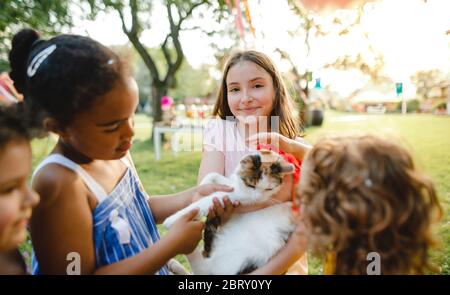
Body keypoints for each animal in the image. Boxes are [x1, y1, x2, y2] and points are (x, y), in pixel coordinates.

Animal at [163, 150, 298, 276]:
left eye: (269, 189)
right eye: (251, 185)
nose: (258, 199)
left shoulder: (237, 196)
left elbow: (205, 201)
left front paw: (172, 219)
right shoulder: (234, 186)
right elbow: (215, 175)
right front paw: (203, 184)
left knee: (201, 267)